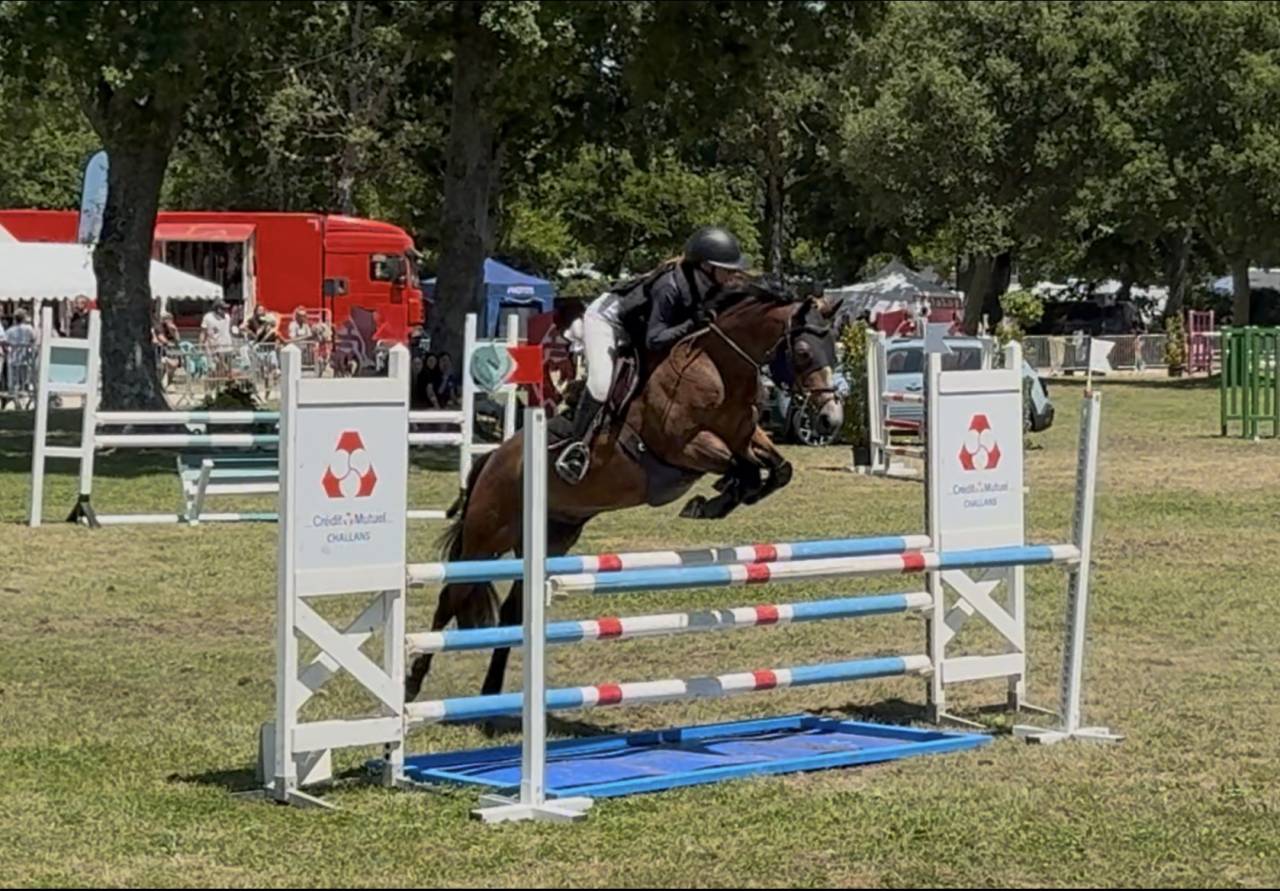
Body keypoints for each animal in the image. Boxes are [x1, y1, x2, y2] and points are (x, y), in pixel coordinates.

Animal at [405, 280, 843, 702]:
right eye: (803, 351)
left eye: (834, 350)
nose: (830, 420)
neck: (718, 368)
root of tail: (491, 460)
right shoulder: (684, 448)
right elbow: (744, 469)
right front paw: (712, 501)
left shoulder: (747, 436)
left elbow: (778, 469)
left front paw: (727, 495)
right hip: (487, 536)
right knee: (450, 597)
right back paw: (413, 684)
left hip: (550, 537)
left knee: (515, 611)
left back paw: (492, 696)